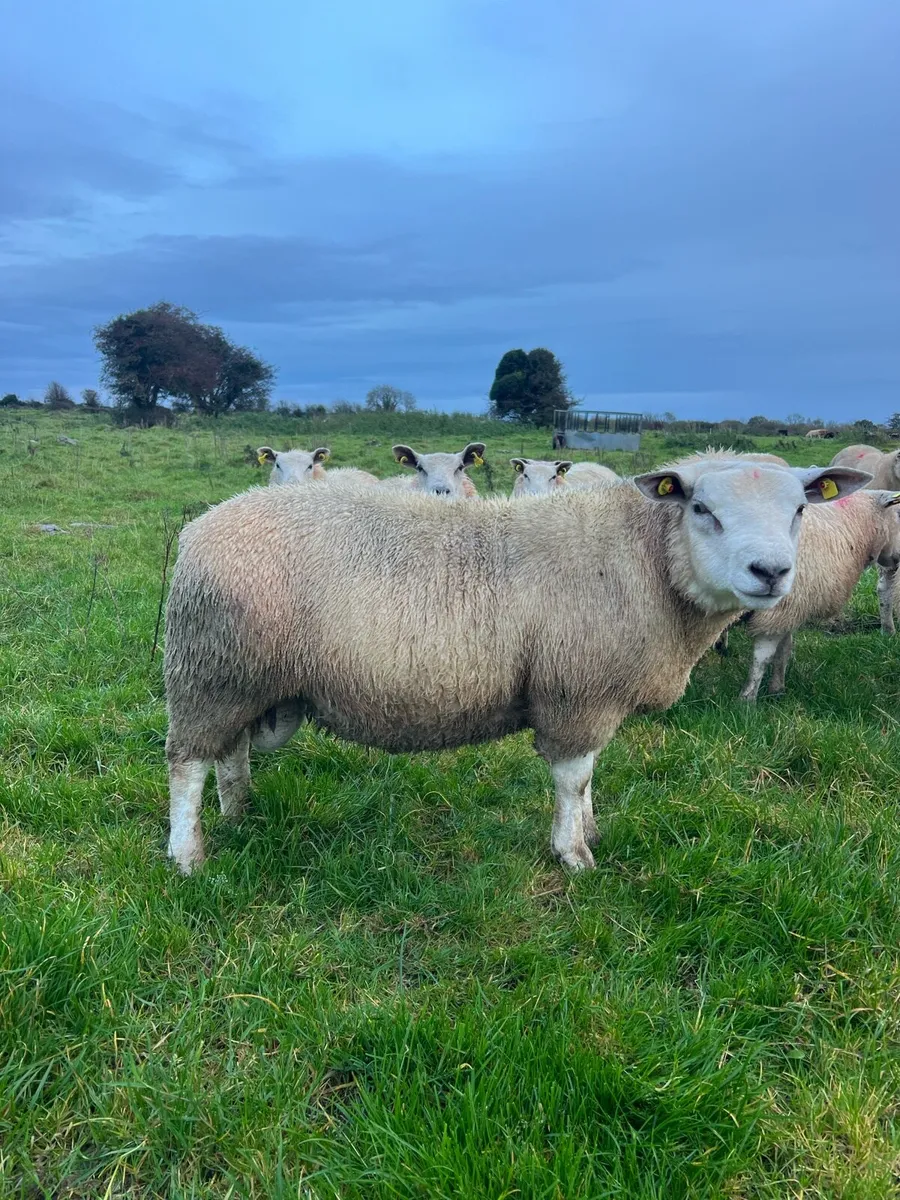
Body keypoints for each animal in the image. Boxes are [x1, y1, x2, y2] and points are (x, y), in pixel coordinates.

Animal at [163, 457, 869, 875]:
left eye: (800, 510)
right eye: (701, 509)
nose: (771, 572)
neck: (643, 560)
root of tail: (202, 525)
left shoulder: (591, 690)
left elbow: (589, 776)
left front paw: (591, 831)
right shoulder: (577, 691)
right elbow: (572, 778)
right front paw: (575, 855)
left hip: (241, 677)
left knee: (230, 750)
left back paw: (239, 811)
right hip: (209, 672)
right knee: (186, 763)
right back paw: (188, 855)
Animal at [738, 489, 900, 700]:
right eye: (898, 515)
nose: (896, 560)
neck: (849, 526)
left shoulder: (792, 607)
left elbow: (784, 649)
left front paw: (777, 689)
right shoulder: (778, 608)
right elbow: (762, 656)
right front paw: (747, 699)